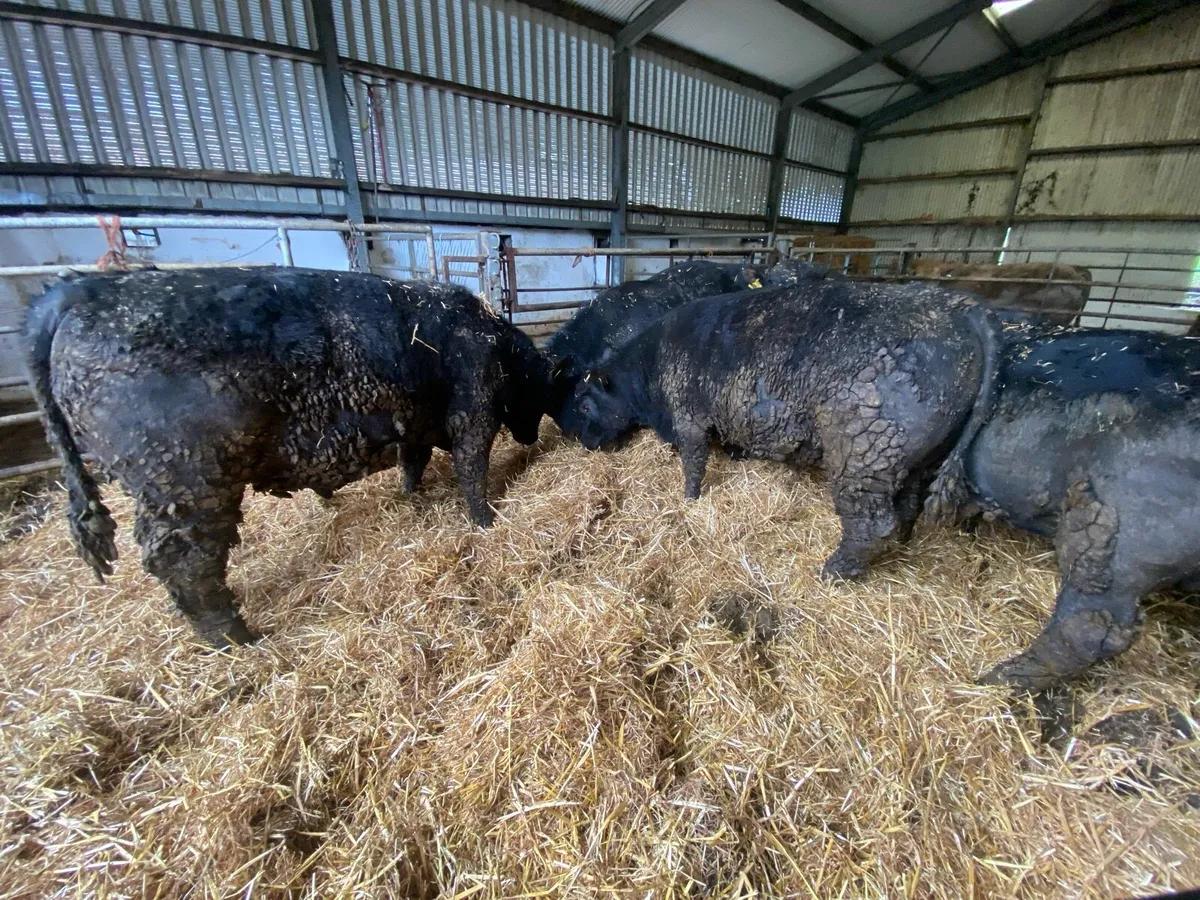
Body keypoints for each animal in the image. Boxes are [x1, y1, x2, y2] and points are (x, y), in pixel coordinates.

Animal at [25, 268, 548, 646]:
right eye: (539, 394)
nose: (529, 439)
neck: (495, 342)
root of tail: (76, 291)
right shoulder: (472, 408)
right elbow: (471, 467)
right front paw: (486, 521)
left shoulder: (412, 419)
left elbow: (412, 461)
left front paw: (410, 497)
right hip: (181, 479)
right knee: (183, 562)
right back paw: (239, 639)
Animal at [557, 279, 1000, 581]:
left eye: (584, 403)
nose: (581, 441)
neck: (650, 369)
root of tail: (961, 309)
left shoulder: (689, 418)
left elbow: (694, 464)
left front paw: (690, 500)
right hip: (919, 458)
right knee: (908, 504)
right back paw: (903, 543)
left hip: (864, 453)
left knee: (872, 525)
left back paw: (835, 571)